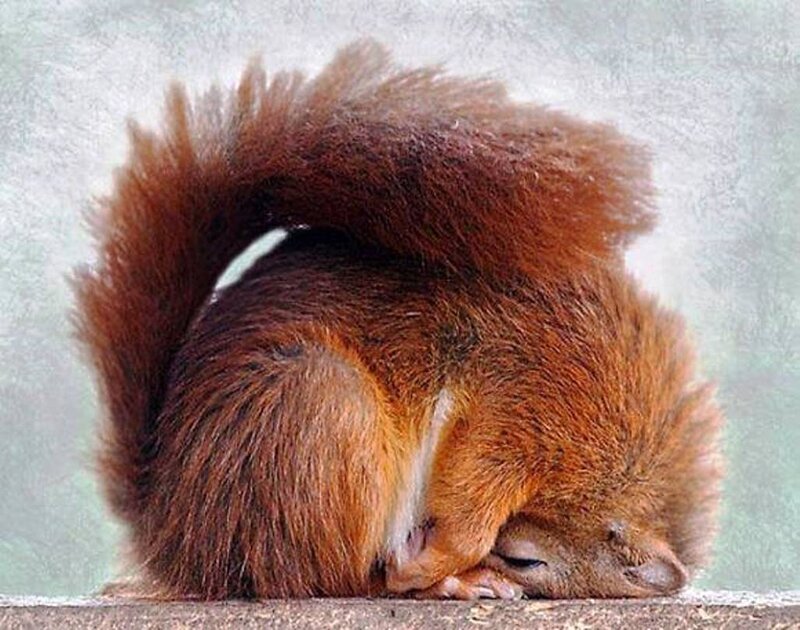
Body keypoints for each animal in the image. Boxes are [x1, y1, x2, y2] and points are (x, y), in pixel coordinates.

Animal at [74, 40, 723, 600]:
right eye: (525, 559)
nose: (504, 558)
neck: (622, 451)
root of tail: (173, 533)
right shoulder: (526, 400)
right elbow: (474, 489)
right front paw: (443, 558)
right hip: (319, 408)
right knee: (334, 580)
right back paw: (440, 579)